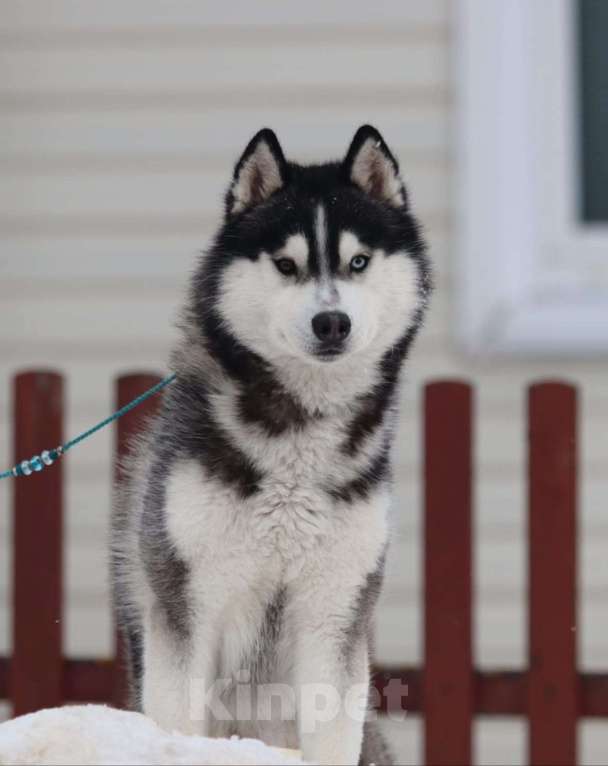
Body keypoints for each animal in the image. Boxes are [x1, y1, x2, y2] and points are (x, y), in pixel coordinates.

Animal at [110, 127, 432, 766]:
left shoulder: (335, 610)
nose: (332, 322)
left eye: (358, 262)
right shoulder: (185, 603)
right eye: (287, 265)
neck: (297, 443)